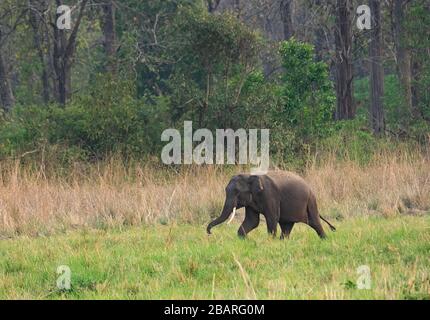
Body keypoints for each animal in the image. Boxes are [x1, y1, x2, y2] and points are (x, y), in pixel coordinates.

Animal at [207, 171, 336, 239]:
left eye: (237, 193)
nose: (210, 232)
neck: (250, 175)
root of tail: (309, 187)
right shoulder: (251, 201)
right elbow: (252, 221)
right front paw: (243, 238)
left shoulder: (270, 195)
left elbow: (271, 218)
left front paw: (270, 241)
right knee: (286, 226)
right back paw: (283, 242)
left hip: (311, 202)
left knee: (314, 222)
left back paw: (324, 239)